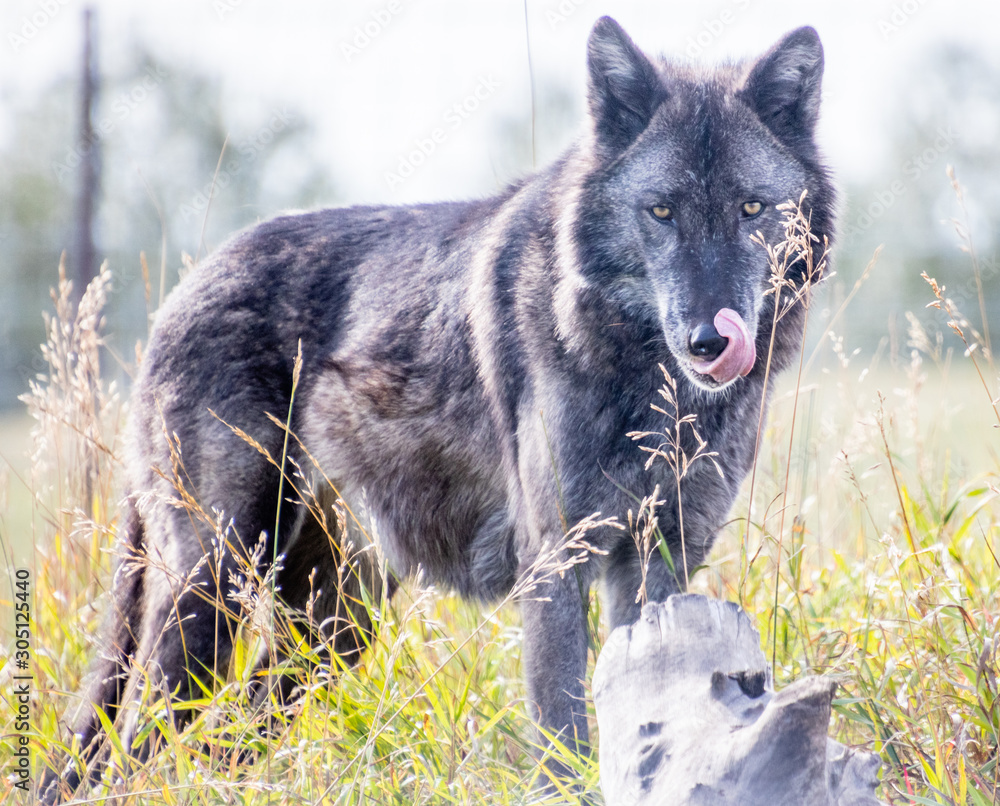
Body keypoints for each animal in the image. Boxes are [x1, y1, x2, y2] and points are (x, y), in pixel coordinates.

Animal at [43, 17, 832, 800]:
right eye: (662, 211)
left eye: (751, 209)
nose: (709, 341)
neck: (647, 380)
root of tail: (182, 288)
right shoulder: (556, 561)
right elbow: (563, 737)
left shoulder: (663, 562)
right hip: (217, 583)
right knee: (138, 745)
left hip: (331, 626)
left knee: (225, 734)